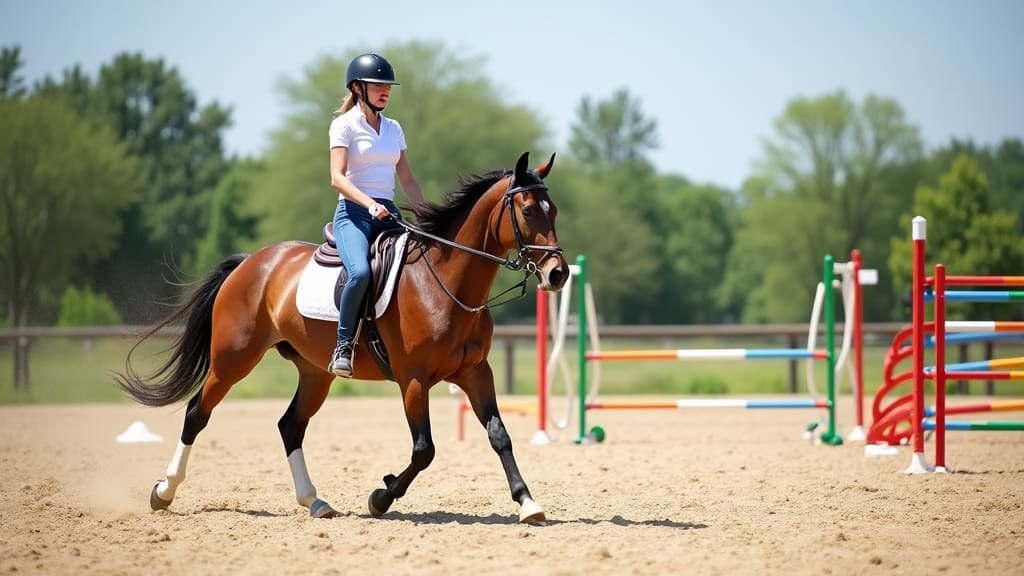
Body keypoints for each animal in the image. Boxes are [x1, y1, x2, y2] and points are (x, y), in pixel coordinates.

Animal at [115, 151, 569, 523]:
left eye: (555, 212)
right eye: (529, 210)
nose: (558, 274)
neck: (444, 283)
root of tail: (252, 262)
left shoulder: (476, 373)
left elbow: (499, 435)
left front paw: (528, 502)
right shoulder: (414, 380)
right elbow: (424, 449)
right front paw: (380, 497)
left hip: (315, 373)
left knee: (290, 426)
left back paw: (315, 502)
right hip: (232, 361)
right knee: (198, 414)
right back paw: (163, 492)